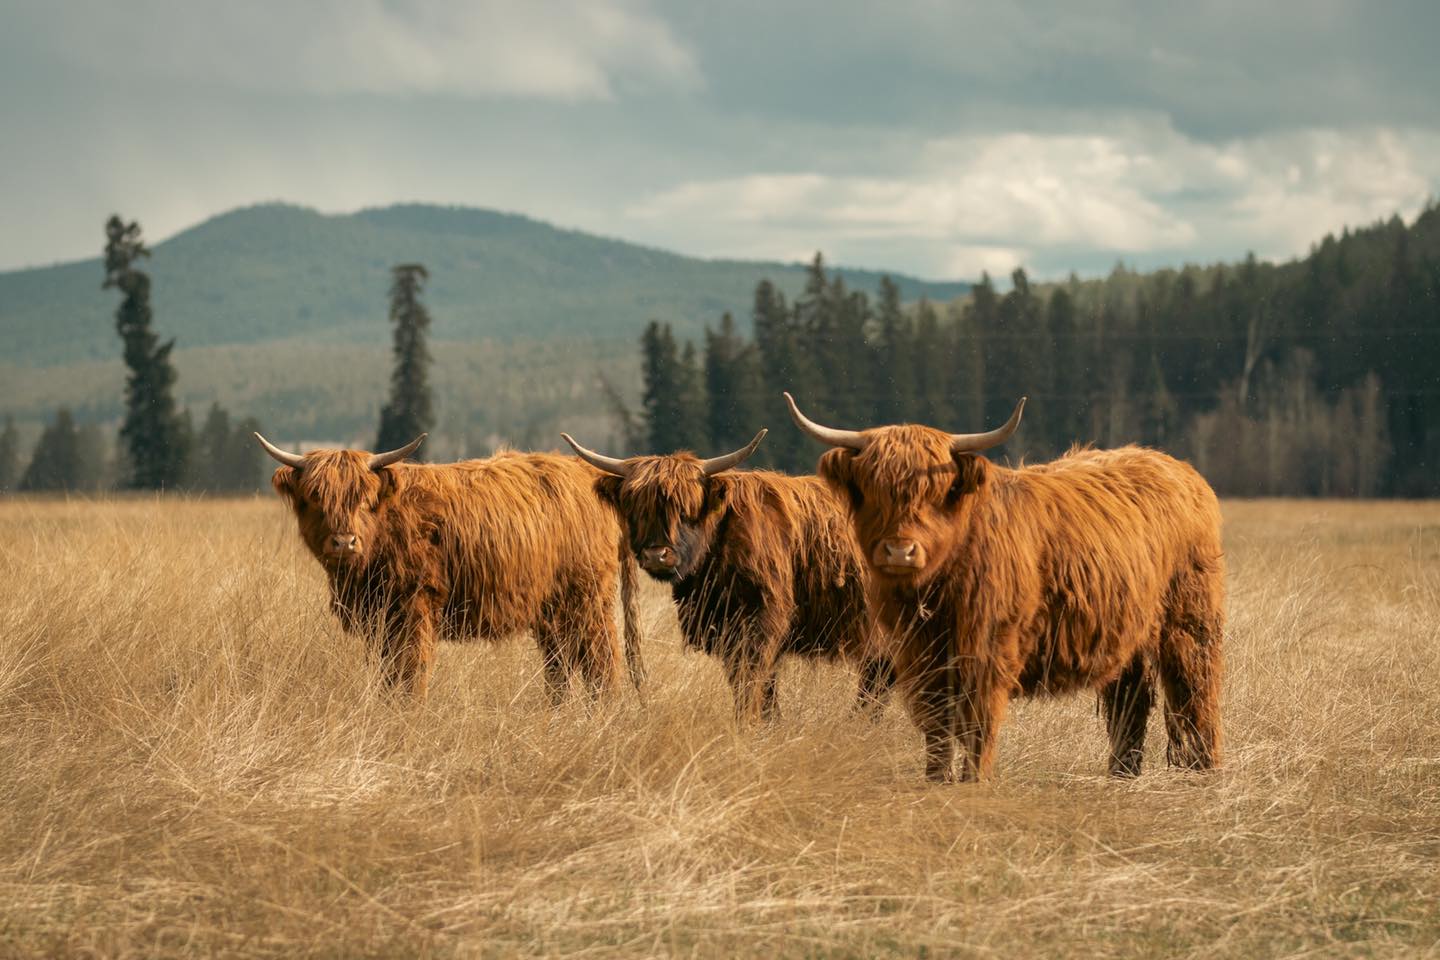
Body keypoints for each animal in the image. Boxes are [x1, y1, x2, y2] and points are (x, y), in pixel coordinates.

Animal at [256, 433, 644, 700]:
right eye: (315, 499)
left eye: (364, 500)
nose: (343, 542)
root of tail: (587, 472)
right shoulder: (375, 617)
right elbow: (385, 671)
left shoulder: (415, 607)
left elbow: (410, 670)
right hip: (550, 609)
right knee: (560, 664)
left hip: (586, 597)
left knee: (600, 659)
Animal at [559, 429, 894, 722]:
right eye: (638, 510)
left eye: (686, 510)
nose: (657, 555)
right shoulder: (721, 627)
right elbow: (749, 681)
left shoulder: (762, 620)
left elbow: (753, 679)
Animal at [785, 393, 1224, 782]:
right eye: (873, 489)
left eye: (937, 492)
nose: (899, 551)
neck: (937, 591)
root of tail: (1178, 467)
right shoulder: (919, 653)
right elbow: (937, 724)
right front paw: (935, 779)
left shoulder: (988, 649)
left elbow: (977, 722)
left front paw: (974, 780)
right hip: (1126, 628)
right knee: (1129, 699)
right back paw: (1121, 773)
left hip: (1190, 623)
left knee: (1196, 694)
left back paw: (1202, 772)